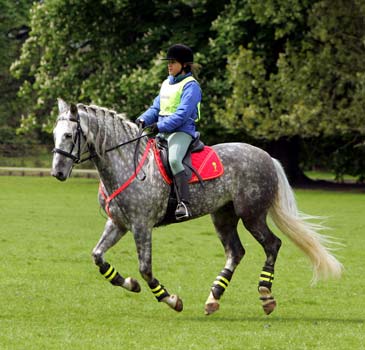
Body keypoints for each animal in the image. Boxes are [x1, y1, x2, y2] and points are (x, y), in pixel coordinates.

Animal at [51, 98, 342, 314]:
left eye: (69, 135)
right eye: (54, 135)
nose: (57, 173)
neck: (125, 164)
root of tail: (266, 156)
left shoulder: (141, 225)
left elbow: (145, 268)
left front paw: (170, 299)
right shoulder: (118, 224)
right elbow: (98, 256)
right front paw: (130, 284)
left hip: (252, 215)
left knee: (272, 245)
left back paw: (266, 296)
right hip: (223, 216)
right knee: (235, 252)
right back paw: (213, 298)